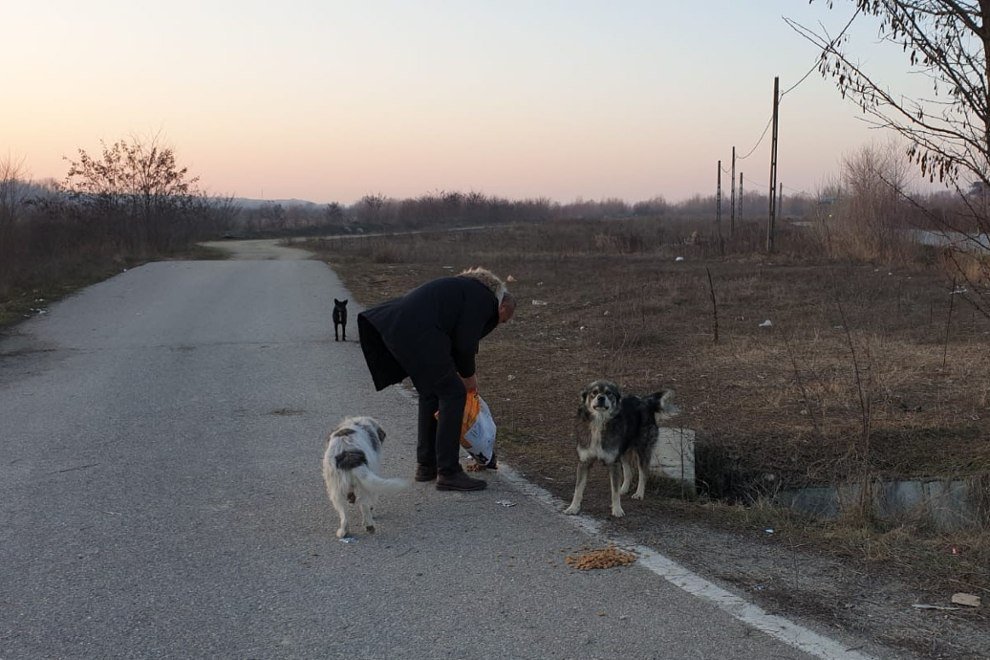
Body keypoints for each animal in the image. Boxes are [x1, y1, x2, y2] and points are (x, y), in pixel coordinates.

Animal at [564, 378, 680, 520]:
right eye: (594, 392)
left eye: (609, 393)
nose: (601, 398)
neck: (599, 423)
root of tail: (645, 401)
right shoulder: (584, 462)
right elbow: (578, 489)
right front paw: (573, 507)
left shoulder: (613, 463)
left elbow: (614, 491)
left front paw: (617, 510)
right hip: (623, 452)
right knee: (628, 472)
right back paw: (623, 489)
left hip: (642, 451)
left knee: (643, 473)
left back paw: (639, 493)